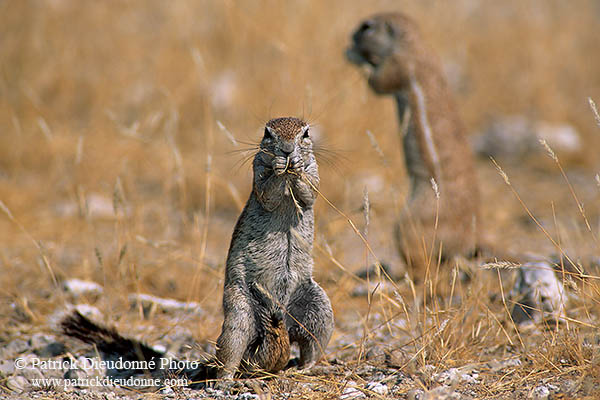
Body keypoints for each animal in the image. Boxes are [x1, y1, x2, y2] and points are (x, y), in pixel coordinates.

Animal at [218, 116, 336, 378]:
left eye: (306, 133)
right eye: (267, 133)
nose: (288, 150)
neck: (287, 179)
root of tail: (285, 323)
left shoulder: (314, 170)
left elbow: (310, 191)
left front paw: (297, 165)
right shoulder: (258, 169)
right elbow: (267, 192)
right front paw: (280, 165)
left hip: (320, 311)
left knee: (311, 347)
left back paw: (303, 369)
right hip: (238, 313)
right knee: (230, 351)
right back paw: (225, 379)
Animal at [346, 10, 478, 276]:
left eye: (367, 26)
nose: (350, 36)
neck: (415, 44)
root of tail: (469, 239)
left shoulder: (398, 65)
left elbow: (378, 82)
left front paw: (354, 55)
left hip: (410, 223)